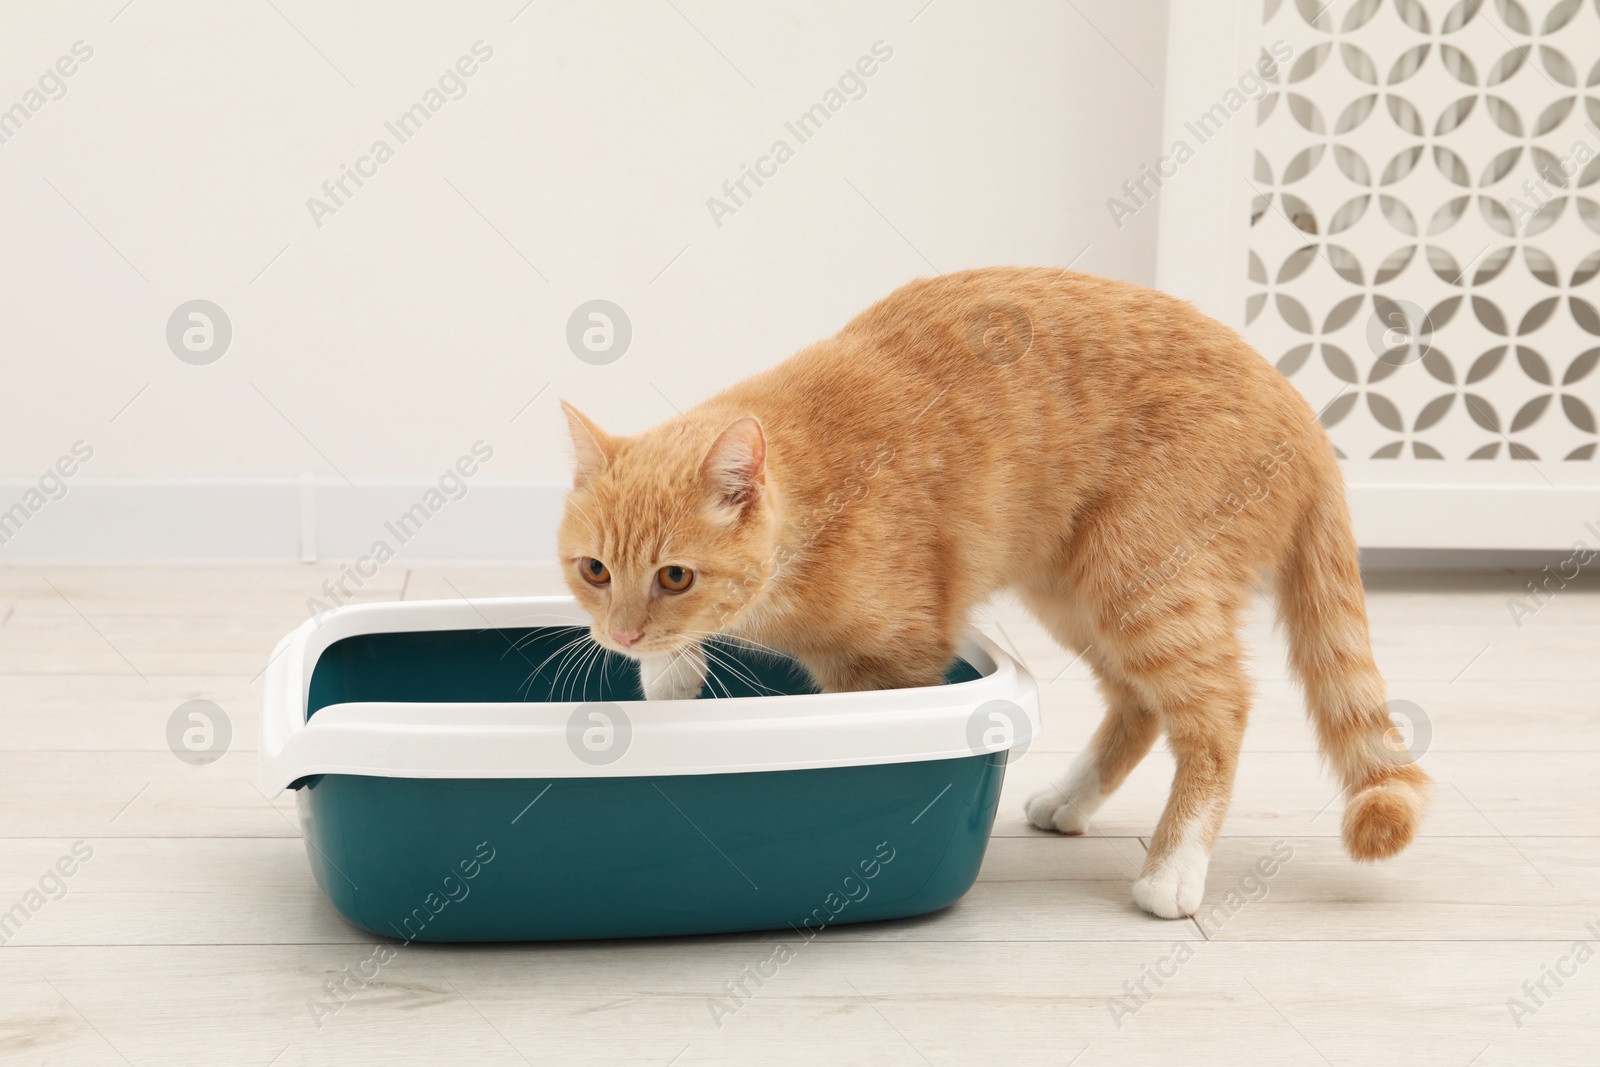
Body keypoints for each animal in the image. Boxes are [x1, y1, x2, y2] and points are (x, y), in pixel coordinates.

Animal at [556, 267, 1433, 921]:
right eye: (594, 570)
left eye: (674, 575)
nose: (623, 635)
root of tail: (1304, 413)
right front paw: (670, 674)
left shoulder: (897, 659)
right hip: (1076, 592)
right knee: (1142, 704)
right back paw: (1073, 800)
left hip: (1141, 579)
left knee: (1216, 711)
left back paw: (1173, 866)